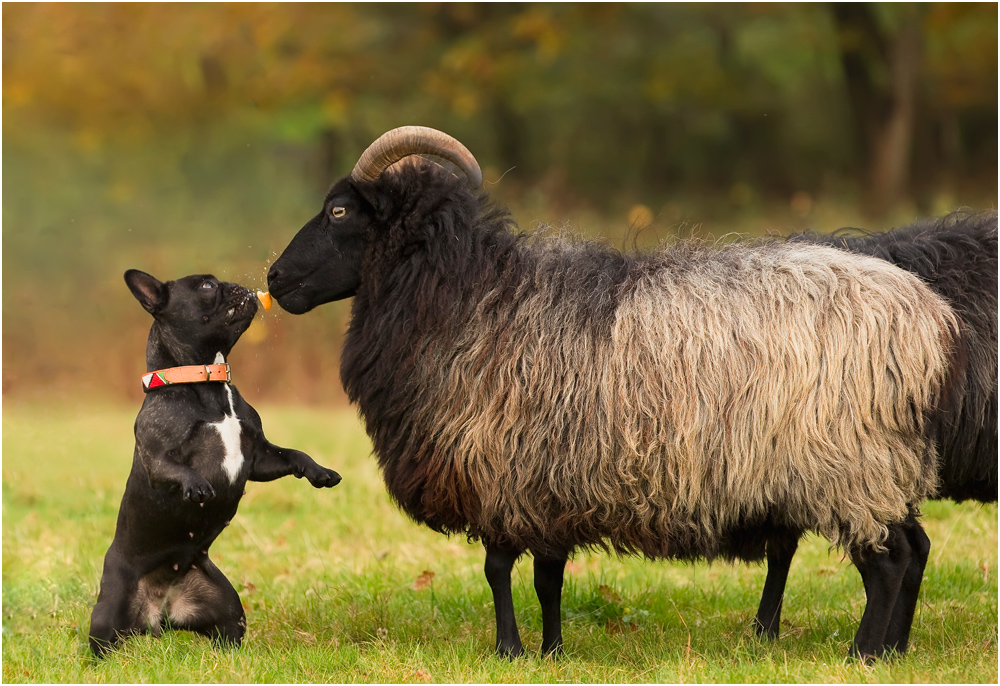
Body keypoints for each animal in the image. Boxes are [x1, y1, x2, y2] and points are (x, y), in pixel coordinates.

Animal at [90, 272, 340, 660]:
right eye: (207, 286)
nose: (236, 285)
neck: (205, 380)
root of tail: (159, 613)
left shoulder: (259, 456)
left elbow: (292, 454)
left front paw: (319, 471)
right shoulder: (157, 459)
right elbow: (176, 469)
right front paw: (198, 486)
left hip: (225, 603)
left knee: (228, 630)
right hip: (109, 611)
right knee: (104, 642)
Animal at [266, 126, 960, 664]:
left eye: (338, 211)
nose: (273, 278)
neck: (466, 296)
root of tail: (927, 318)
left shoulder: (498, 468)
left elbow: (498, 570)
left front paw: (508, 651)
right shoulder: (543, 483)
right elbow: (547, 576)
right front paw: (551, 652)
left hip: (850, 465)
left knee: (889, 560)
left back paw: (863, 655)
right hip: (884, 465)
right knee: (914, 548)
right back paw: (894, 651)